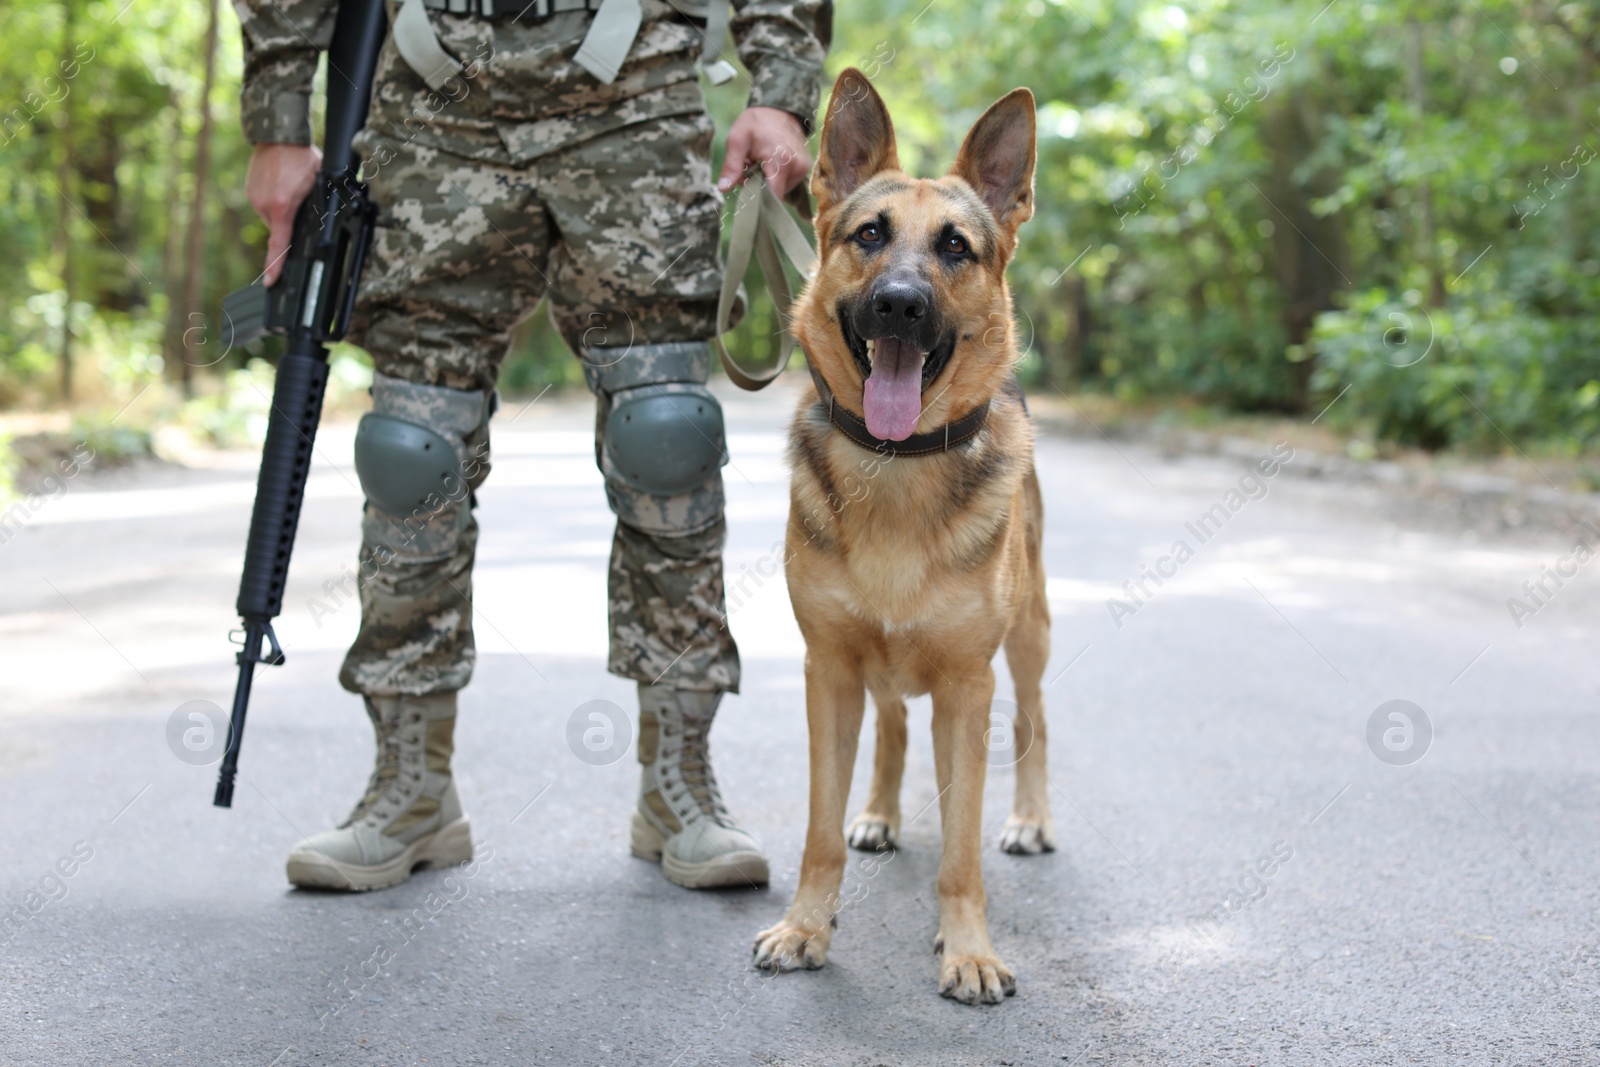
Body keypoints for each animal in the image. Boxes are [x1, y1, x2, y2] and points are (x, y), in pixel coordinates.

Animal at [755, 70, 1056, 1004]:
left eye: (956, 246)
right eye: (870, 235)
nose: (899, 303)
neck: (896, 468)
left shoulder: (968, 685)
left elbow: (961, 849)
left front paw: (969, 948)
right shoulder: (828, 672)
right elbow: (818, 829)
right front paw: (806, 926)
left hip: (1028, 639)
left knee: (1034, 722)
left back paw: (1030, 818)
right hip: (876, 670)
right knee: (891, 727)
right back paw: (881, 812)